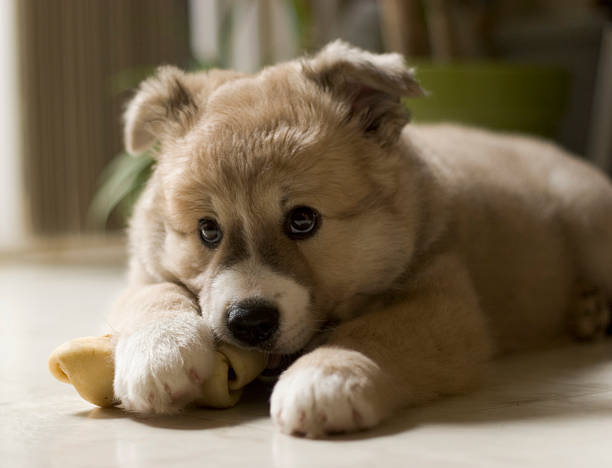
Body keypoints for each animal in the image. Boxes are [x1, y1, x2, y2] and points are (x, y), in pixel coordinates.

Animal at [109, 41, 612, 438]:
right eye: (207, 230)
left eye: (303, 220)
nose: (249, 323)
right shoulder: (140, 270)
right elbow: (152, 295)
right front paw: (158, 354)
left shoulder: (446, 300)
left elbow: (372, 333)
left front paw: (325, 378)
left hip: (588, 221)